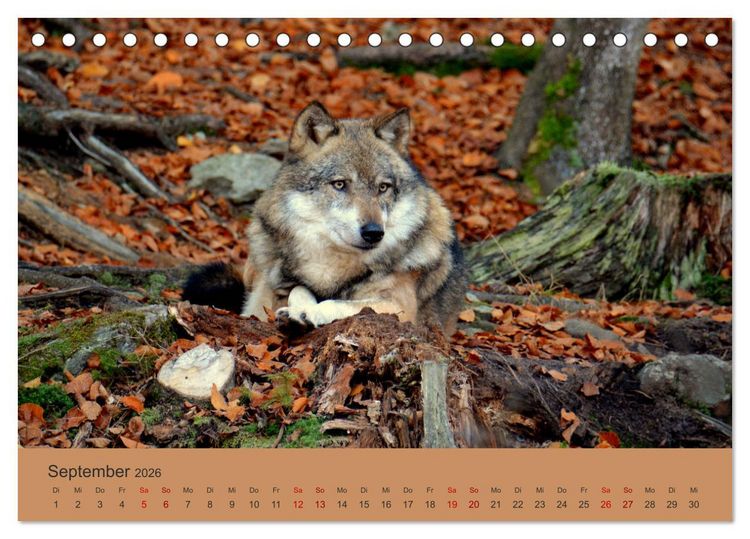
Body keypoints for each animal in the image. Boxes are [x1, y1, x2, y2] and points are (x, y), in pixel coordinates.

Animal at [183, 101, 466, 336]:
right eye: (340, 184)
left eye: (383, 188)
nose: (374, 232)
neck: (334, 267)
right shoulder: (280, 288)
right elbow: (299, 289)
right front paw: (300, 309)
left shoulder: (400, 306)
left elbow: (340, 303)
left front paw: (311, 312)